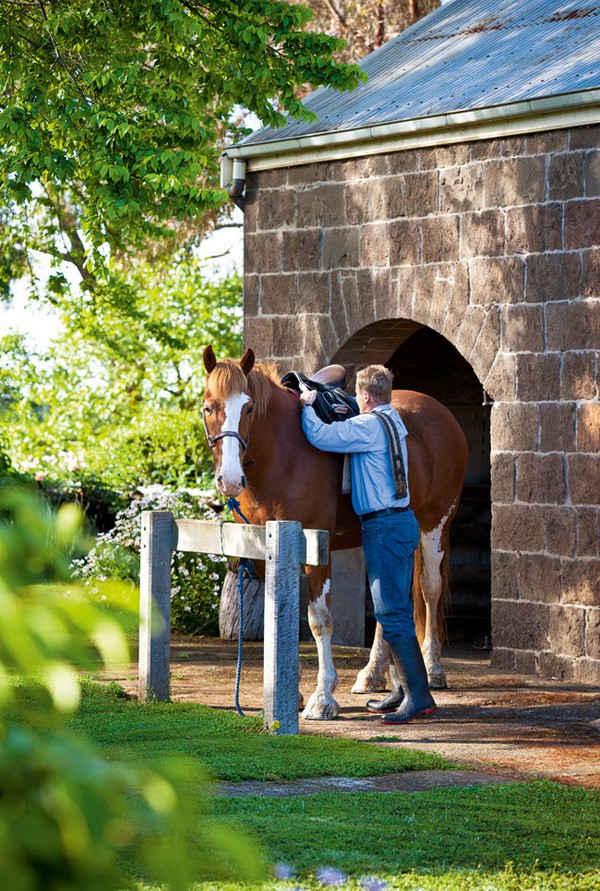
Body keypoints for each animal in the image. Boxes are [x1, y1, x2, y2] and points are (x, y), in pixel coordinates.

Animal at [202, 344, 468, 720]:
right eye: (209, 407)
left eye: (249, 407)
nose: (229, 480)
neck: (281, 453)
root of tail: (440, 412)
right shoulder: (265, 553)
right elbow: (275, 615)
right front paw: (287, 691)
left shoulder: (316, 546)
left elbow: (319, 620)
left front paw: (322, 698)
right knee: (388, 600)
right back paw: (373, 674)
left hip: (436, 524)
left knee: (430, 589)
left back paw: (432, 668)